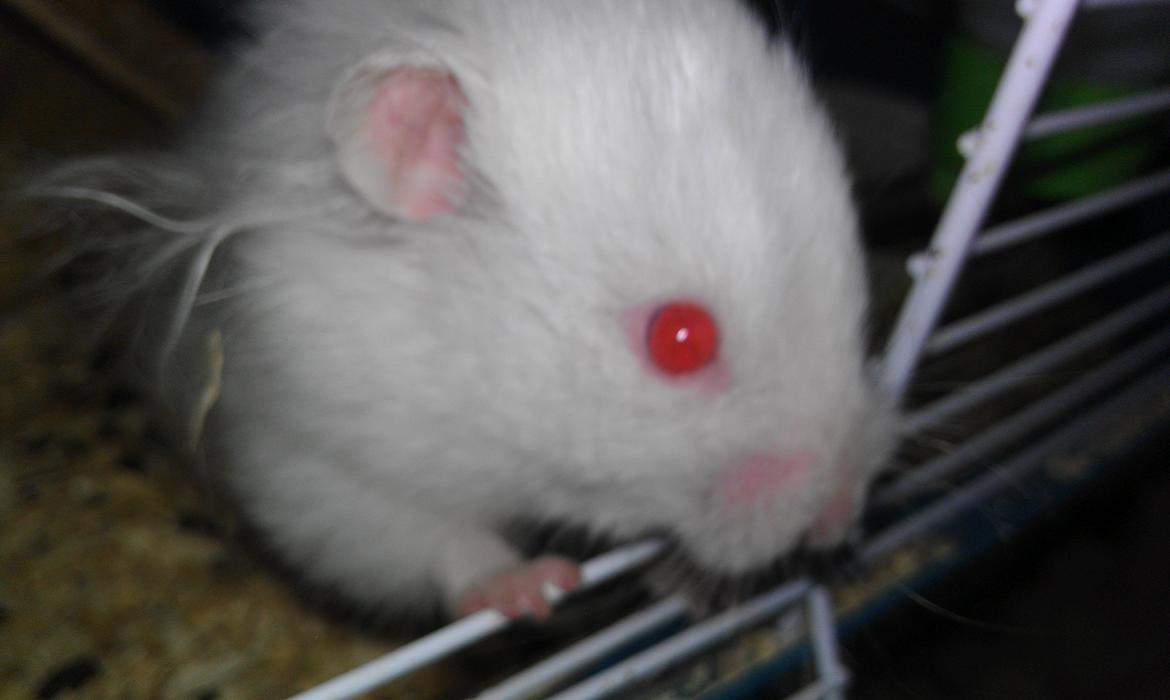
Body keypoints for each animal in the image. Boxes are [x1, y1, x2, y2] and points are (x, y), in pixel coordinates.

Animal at [34, 0, 895, 621]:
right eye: (680, 339)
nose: (843, 515)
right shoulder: (305, 450)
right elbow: (423, 537)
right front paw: (536, 590)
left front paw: (686, 588)